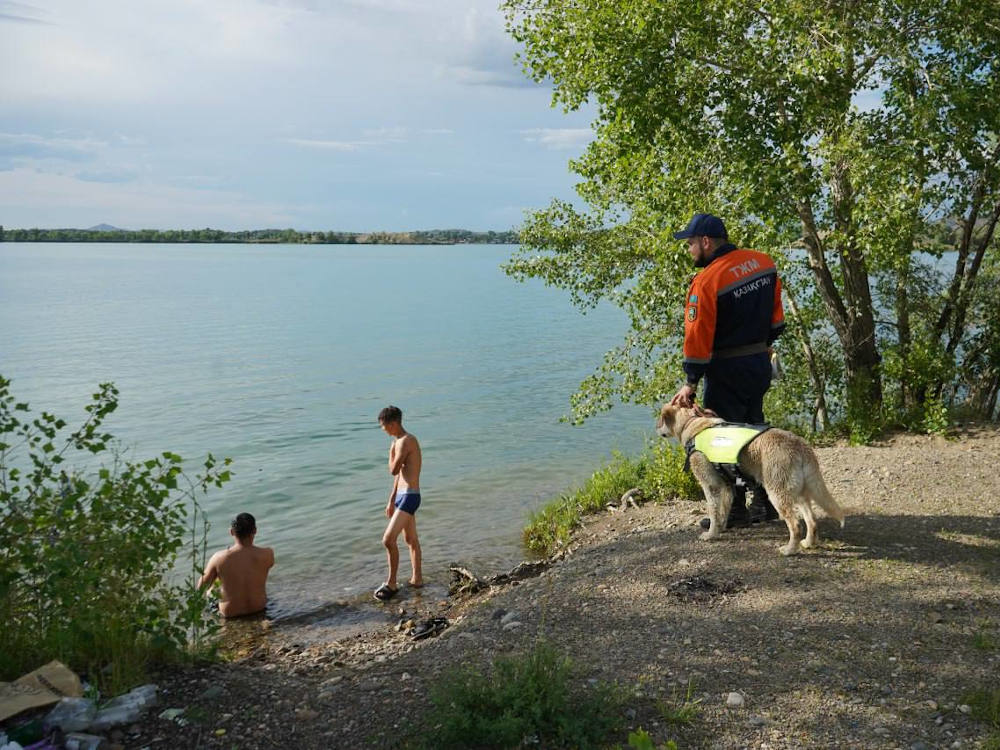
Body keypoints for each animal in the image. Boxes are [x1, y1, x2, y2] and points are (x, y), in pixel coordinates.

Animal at [656, 406, 844, 560]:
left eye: (660, 420)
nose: (657, 429)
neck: (692, 424)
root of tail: (801, 446)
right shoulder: (727, 486)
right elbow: (723, 511)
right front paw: (722, 528)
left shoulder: (711, 485)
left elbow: (714, 512)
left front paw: (710, 534)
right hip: (799, 492)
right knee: (811, 521)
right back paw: (808, 543)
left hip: (777, 493)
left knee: (796, 525)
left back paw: (790, 550)